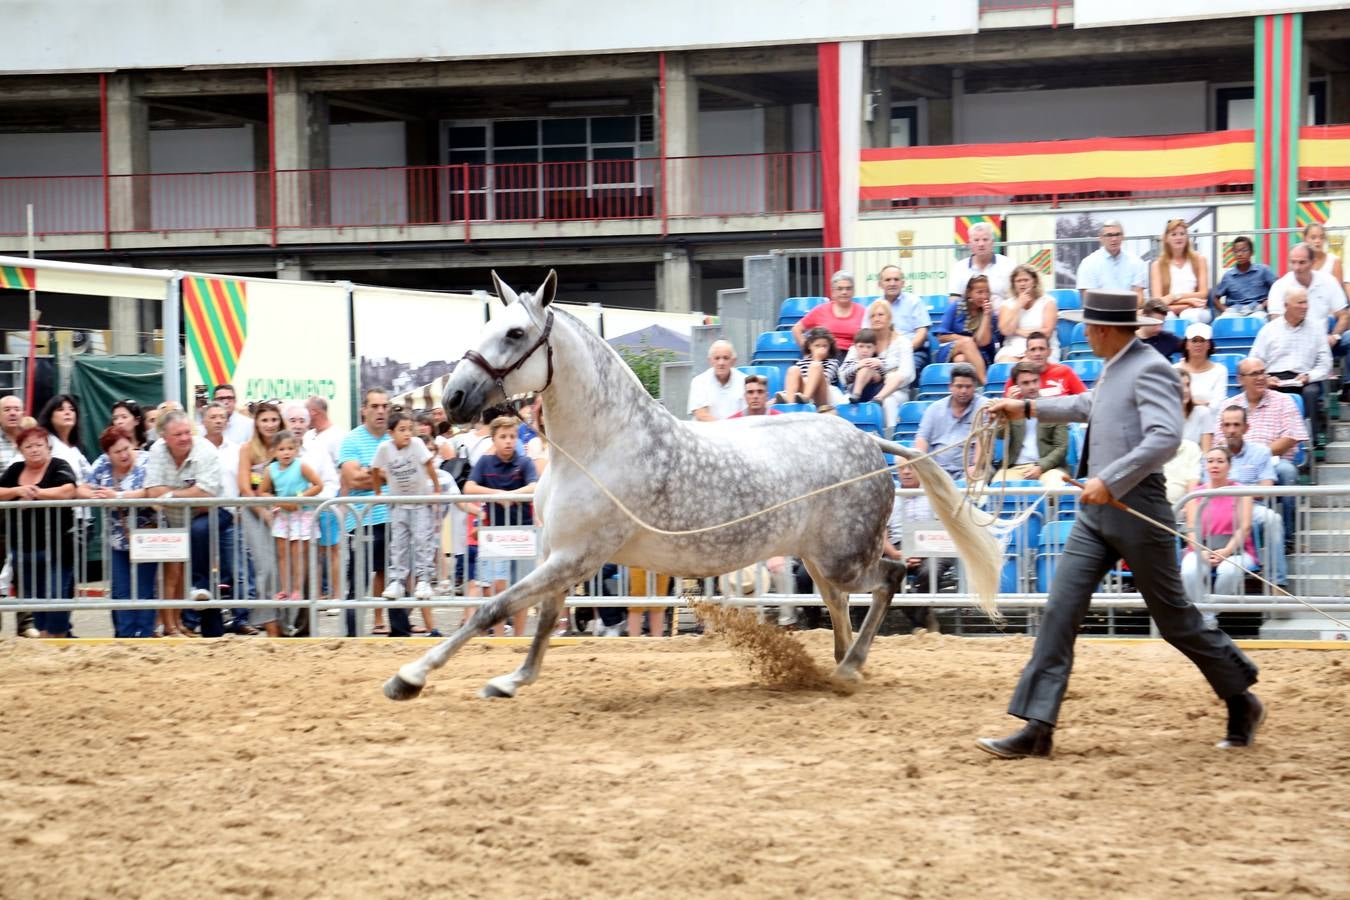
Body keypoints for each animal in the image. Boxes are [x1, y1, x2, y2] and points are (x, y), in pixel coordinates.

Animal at [384, 271, 1001, 702]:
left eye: (515, 333)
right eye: (484, 328)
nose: (453, 399)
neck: (599, 447)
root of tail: (871, 442)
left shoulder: (578, 555)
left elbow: (494, 609)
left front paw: (409, 677)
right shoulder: (561, 555)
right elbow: (540, 621)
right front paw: (513, 679)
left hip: (846, 555)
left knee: (889, 580)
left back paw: (848, 668)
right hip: (819, 557)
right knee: (839, 602)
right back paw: (841, 665)